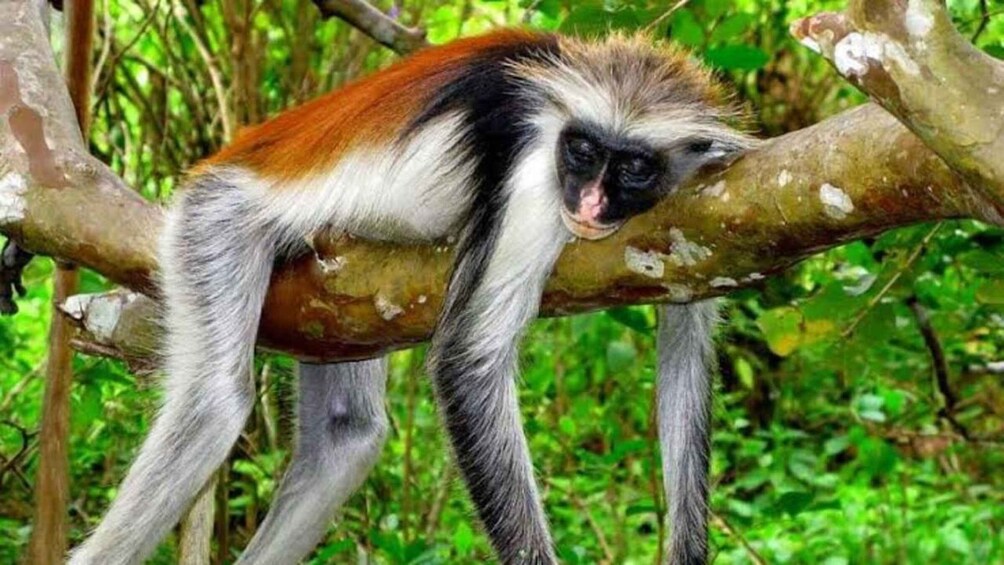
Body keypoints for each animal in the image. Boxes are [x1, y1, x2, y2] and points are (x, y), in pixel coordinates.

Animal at [70, 30, 751, 565]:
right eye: (582, 152)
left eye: (632, 167)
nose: (586, 203)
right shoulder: (535, 170)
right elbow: (468, 362)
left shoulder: (705, 199)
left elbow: (687, 346)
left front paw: (687, 550)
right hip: (215, 220)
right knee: (214, 403)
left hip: (332, 302)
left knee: (348, 435)